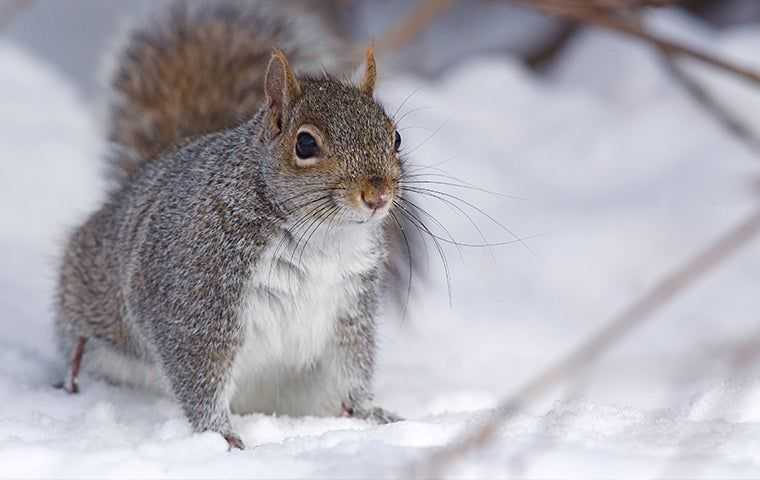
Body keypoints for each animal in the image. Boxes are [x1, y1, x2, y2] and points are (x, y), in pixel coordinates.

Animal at [53, 0, 404, 450]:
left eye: (395, 138)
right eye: (306, 143)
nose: (377, 195)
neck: (321, 236)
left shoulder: (351, 304)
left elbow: (353, 365)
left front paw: (369, 413)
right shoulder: (195, 292)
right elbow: (199, 371)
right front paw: (220, 434)